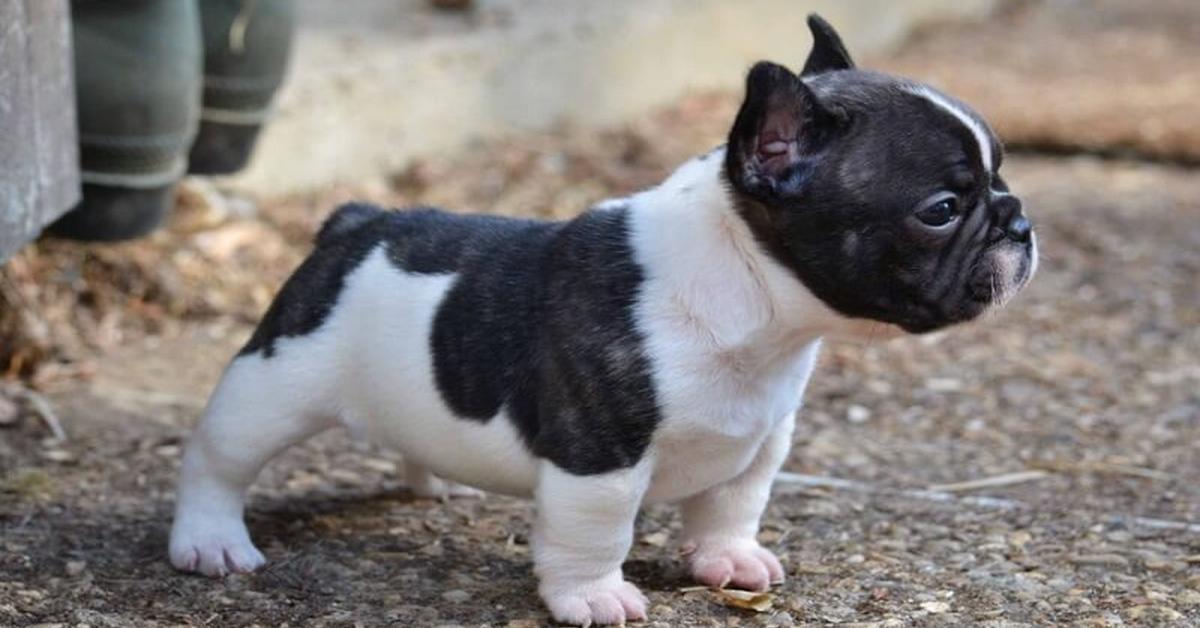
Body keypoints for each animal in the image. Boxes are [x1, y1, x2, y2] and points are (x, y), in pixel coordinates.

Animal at [171, 15, 1041, 628]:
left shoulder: (762, 440)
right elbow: (597, 535)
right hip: (276, 384)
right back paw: (211, 540)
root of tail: (356, 222)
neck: (753, 302)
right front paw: (593, 597)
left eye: (1002, 174)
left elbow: (734, 506)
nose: (1021, 222)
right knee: (218, 457)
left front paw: (729, 562)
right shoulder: (600, 460)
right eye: (942, 208)